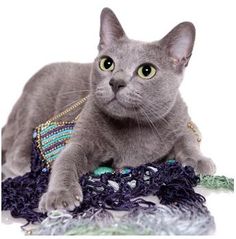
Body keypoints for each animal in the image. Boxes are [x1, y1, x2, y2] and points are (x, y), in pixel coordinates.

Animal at [1, 8, 216, 212]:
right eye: (107, 63)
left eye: (146, 71)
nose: (116, 82)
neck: (133, 125)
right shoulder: (83, 138)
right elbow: (66, 160)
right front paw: (60, 194)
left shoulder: (180, 117)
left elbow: (187, 138)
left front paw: (199, 161)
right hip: (35, 105)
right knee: (16, 146)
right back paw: (23, 164)